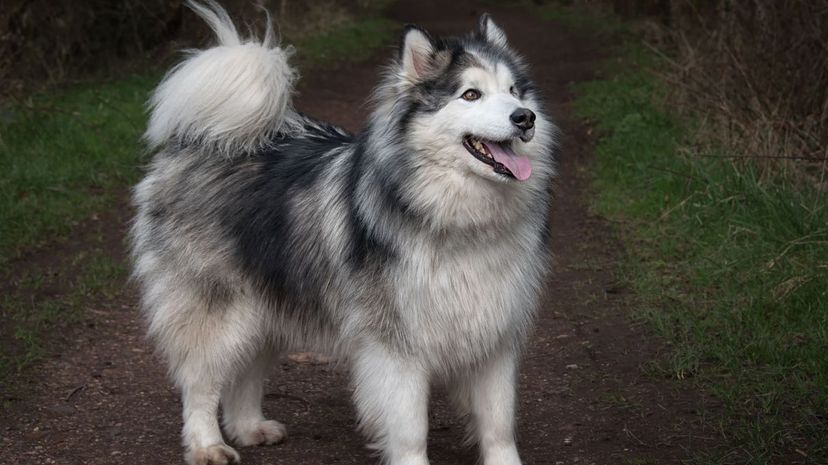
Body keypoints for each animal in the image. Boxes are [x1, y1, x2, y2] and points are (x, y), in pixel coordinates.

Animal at [129, 1, 556, 462]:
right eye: (471, 94)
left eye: (514, 92)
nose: (525, 118)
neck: (457, 219)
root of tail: (207, 138)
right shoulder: (396, 347)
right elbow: (411, 429)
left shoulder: (495, 336)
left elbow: (499, 422)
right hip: (220, 311)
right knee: (200, 383)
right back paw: (208, 445)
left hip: (266, 308)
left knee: (246, 373)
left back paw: (249, 428)